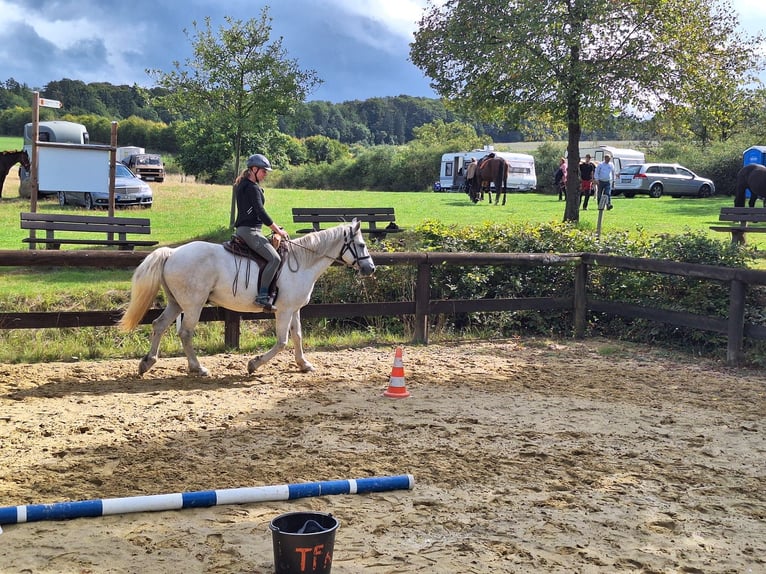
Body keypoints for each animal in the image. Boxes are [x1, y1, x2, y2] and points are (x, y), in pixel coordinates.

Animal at [118, 220, 375, 376]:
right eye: (361, 244)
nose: (370, 268)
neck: (302, 263)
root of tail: (172, 252)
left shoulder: (294, 309)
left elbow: (297, 337)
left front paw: (304, 364)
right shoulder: (283, 311)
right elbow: (282, 342)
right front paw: (254, 364)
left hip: (176, 303)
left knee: (159, 325)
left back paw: (148, 362)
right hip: (193, 305)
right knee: (185, 333)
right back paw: (198, 367)